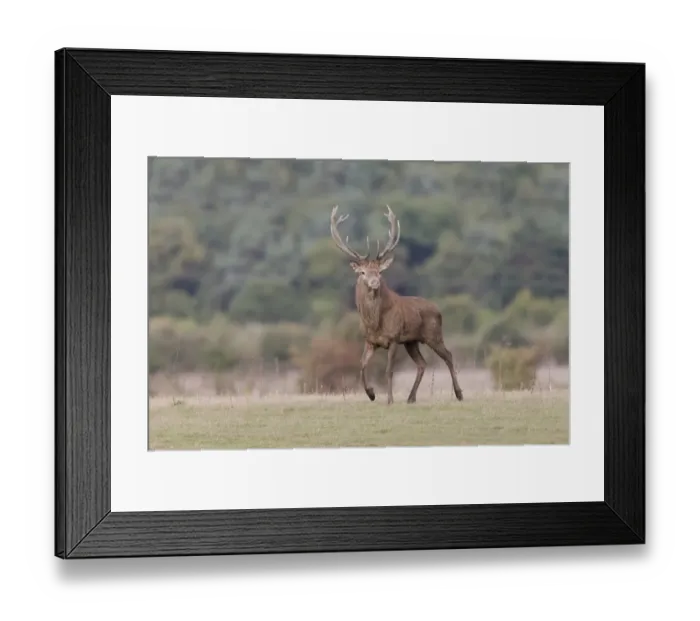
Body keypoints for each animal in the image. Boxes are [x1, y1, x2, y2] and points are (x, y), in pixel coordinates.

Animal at [330, 204, 464, 405]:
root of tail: (438, 310)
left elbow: (389, 370)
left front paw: (389, 399)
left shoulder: (393, 338)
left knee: (448, 355)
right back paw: (411, 397)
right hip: (411, 341)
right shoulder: (369, 341)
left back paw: (459, 393)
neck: (374, 323)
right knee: (422, 363)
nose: (375, 283)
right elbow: (362, 365)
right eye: (362, 272)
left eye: (379, 271)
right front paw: (371, 394)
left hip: (433, 334)